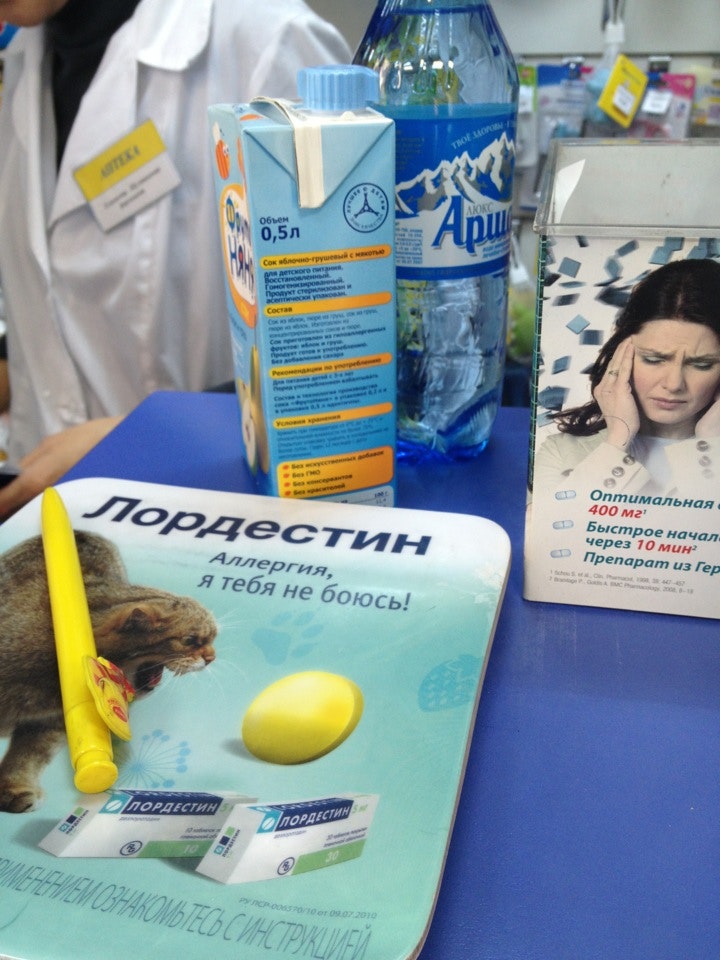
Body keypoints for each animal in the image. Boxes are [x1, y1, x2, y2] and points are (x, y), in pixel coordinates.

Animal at [0, 530, 218, 813]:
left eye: (213, 638)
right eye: (190, 640)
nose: (212, 657)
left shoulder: (49, 723)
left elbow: (27, 756)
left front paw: (13, 787)